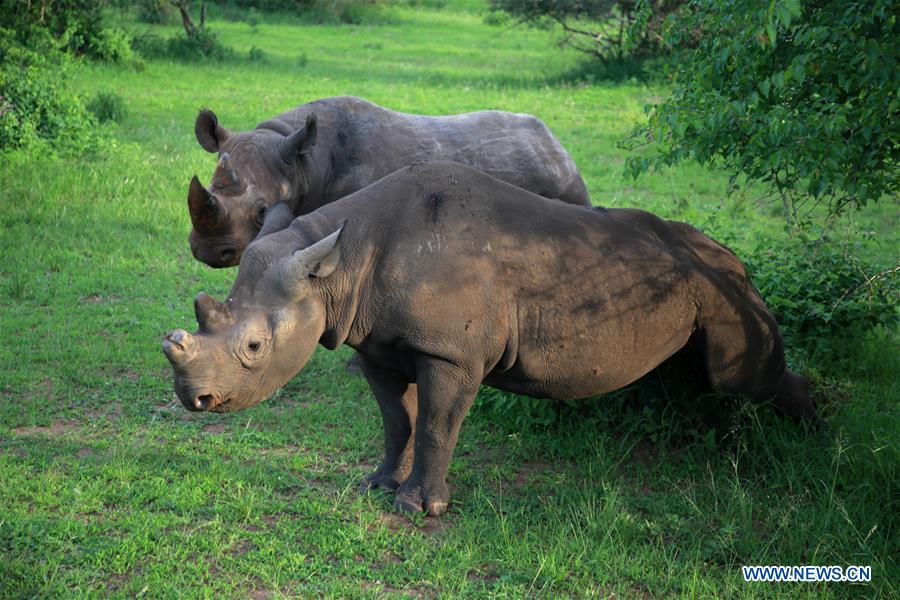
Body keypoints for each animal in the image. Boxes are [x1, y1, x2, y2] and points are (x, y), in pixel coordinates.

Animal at [163, 161, 818, 517]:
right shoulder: (374, 341)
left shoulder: (451, 353)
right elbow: (397, 421)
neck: (337, 264)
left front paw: (418, 508)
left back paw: (815, 439)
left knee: (740, 378)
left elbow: (434, 424)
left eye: (254, 348)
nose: (196, 400)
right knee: (701, 377)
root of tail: (734, 261)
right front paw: (377, 485)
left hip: (726, 286)